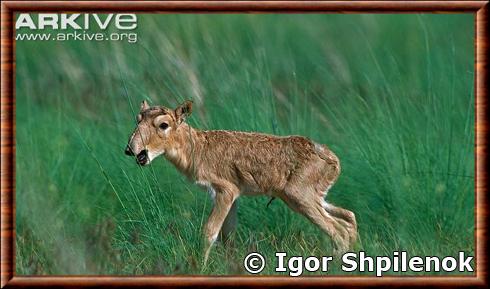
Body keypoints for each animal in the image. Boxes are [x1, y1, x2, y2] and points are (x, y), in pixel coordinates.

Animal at [124, 99, 358, 264]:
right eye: (137, 119)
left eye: (163, 125)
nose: (130, 149)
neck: (197, 148)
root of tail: (331, 159)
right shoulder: (231, 197)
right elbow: (227, 236)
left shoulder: (225, 191)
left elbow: (209, 232)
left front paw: (201, 267)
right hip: (314, 198)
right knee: (349, 217)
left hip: (300, 197)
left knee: (338, 231)